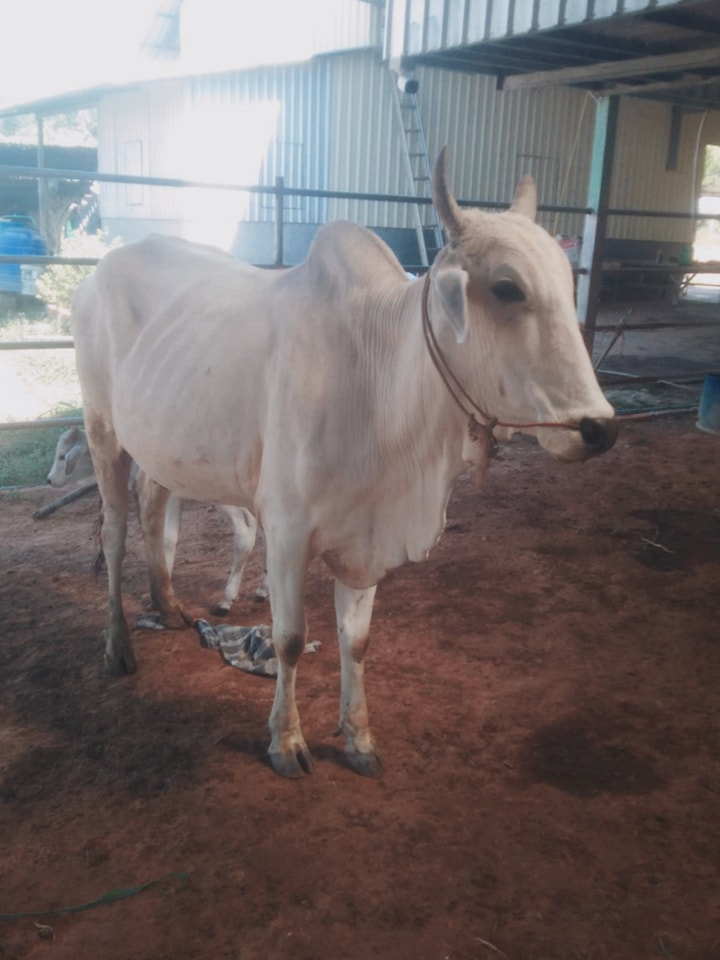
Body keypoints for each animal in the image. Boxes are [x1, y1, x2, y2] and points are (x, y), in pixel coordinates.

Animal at [47, 426, 268, 612]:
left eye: (62, 456)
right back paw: (262, 590)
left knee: (246, 529)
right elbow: (168, 538)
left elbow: (164, 538)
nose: (48, 479)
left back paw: (227, 598)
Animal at [71, 148, 617, 779]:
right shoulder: (286, 531)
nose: (600, 427)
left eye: (566, 280)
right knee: (113, 534)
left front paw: (358, 738)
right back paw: (118, 647)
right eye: (507, 288)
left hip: (159, 447)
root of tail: (99, 271)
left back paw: (169, 605)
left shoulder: (365, 539)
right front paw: (286, 742)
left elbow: (355, 641)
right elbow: (288, 637)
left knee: (154, 512)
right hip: (102, 429)